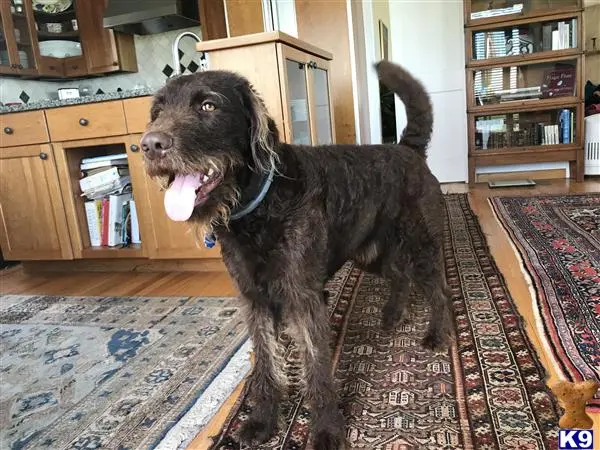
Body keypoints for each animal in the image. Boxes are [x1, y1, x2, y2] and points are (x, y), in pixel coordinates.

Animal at [139, 60, 450, 450]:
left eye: (208, 105)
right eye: (156, 111)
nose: (149, 144)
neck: (259, 209)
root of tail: (408, 149)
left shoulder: (304, 300)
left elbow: (316, 369)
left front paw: (327, 430)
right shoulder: (255, 300)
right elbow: (266, 365)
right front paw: (262, 419)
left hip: (420, 245)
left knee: (437, 288)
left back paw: (437, 335)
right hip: (371, 252)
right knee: (400, 276)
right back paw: (393, 314)